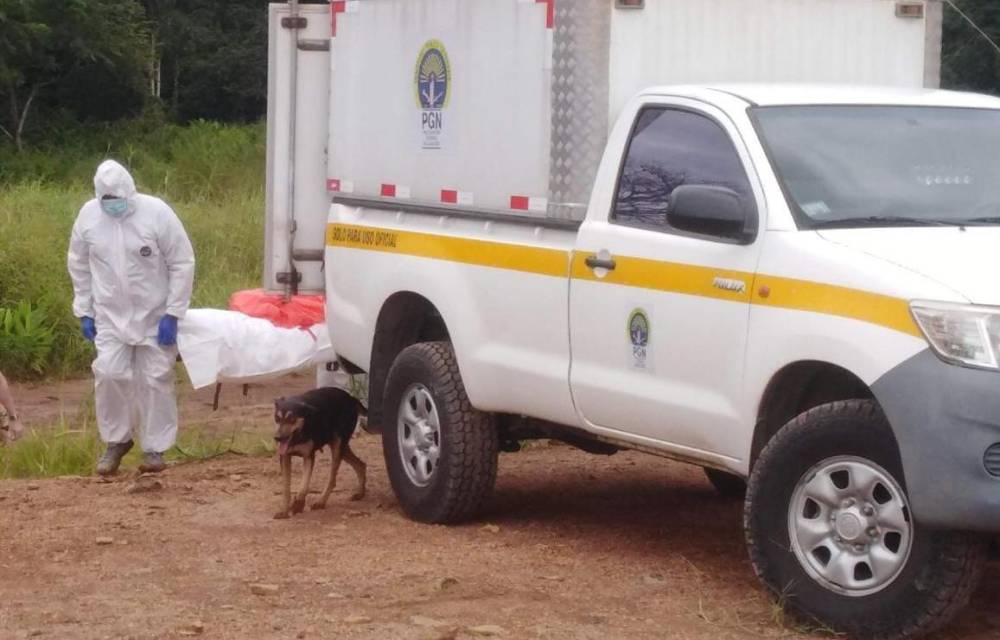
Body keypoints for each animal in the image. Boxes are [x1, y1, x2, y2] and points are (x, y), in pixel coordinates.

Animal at [272, 384, 370, 520]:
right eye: (277, 418)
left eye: (292, 419)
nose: (277, 438)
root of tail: (350, 397)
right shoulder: (285, 456)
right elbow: (286, 488)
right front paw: (284, 511)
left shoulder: (308, 456)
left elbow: (304, 485)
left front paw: (298, 504)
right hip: (342, 447)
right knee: (360, 465)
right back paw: (360, 493)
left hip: (338, 447)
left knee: (332, 479)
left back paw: (321, 502)